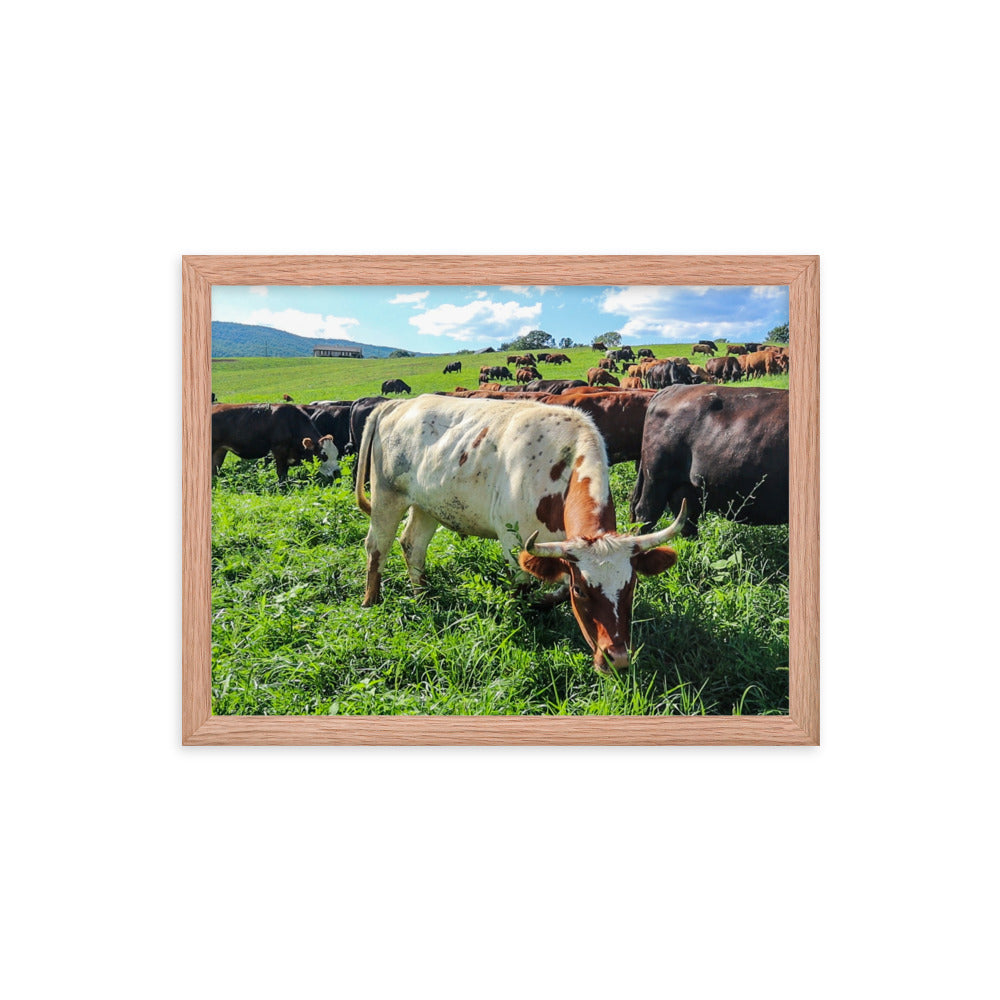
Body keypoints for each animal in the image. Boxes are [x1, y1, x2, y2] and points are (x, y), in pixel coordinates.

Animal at [212, 404, 340, 482]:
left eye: (337, 454)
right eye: (324, 456)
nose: (337, 473)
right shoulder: (279, 451)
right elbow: (281, 474)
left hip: (220, 450)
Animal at [355, 395, 686, 671]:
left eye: (631, 586)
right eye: (582, 591)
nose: (616, 659)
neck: (561, 466)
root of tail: (398, 404)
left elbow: (556, 589)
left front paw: (543, 603)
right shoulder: (515, 543)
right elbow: (523, 589)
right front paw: (523, 618)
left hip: (427, 506)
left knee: (413, 545)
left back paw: (422, 595)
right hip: (387, 497)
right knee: (376, 548)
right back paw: (371, 602)